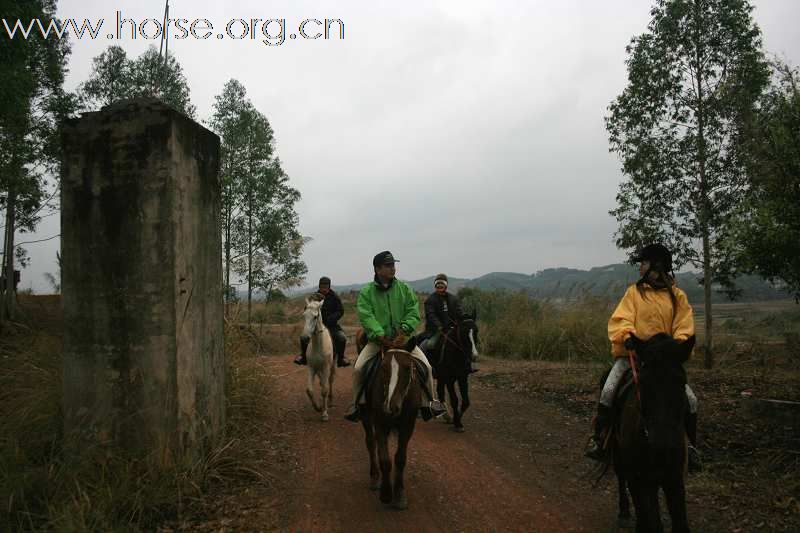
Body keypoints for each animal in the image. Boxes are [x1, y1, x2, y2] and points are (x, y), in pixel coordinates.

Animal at [354, 330, 418, 510]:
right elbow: (385, 459)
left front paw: (400, 494)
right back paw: (375, 477)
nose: (391, 406)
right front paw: (386, 494)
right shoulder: (380, 423)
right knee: (371, 442)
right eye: (383, 368)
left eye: (408, 367)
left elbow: (400, 459)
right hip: (367, 417)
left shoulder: (408, 425)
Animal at [612, 334, 692, 528]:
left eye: (681, 381)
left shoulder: (674, 479)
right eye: (643, 382)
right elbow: (652, 520)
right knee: (622, 477)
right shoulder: (643, 479)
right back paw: (624, 512)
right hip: (619, 455)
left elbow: (680, 522)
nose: (663, 445)